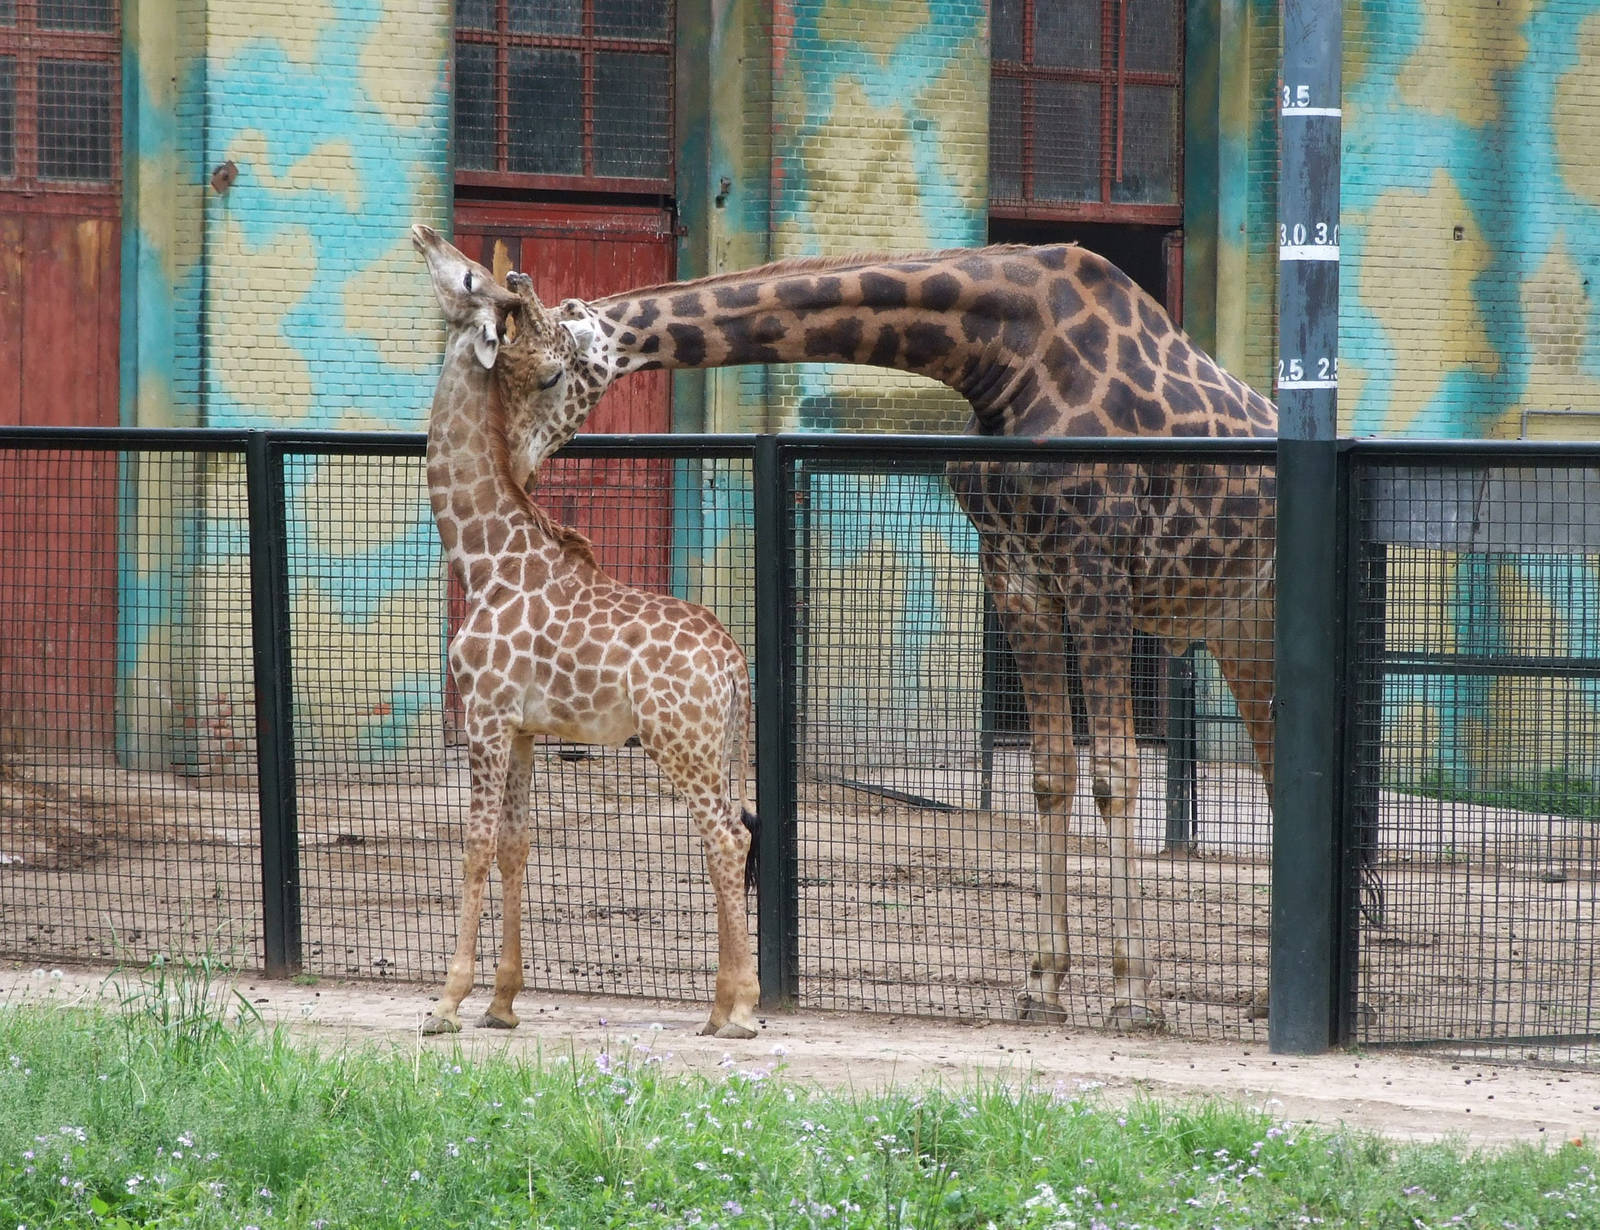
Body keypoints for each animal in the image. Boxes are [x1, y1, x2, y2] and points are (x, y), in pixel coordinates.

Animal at [411, 225, 761, 1040]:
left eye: (467, 279)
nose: (424, 233)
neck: (482, 556)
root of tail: (734, 665)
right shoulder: (525, 727)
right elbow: (516, 845)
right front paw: (503, 1003)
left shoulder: (485, 713)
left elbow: (474, 846)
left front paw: (446, 1002)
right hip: (710, 745)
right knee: (729, 834)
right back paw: (718, 1008)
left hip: (679, 740)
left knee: (726, 837)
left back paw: (741, 1011)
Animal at [522, 240, 1280, 1030]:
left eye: (548, 373)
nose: (510, 459)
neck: (1003, 356)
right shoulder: (1018, 576)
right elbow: (1050, 776)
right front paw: (1042, 985)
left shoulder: (1095, 567)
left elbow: (1116, 774)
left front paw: (1134, 998)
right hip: (1243, 624)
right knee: (1277, 769)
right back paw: (1266, 996)